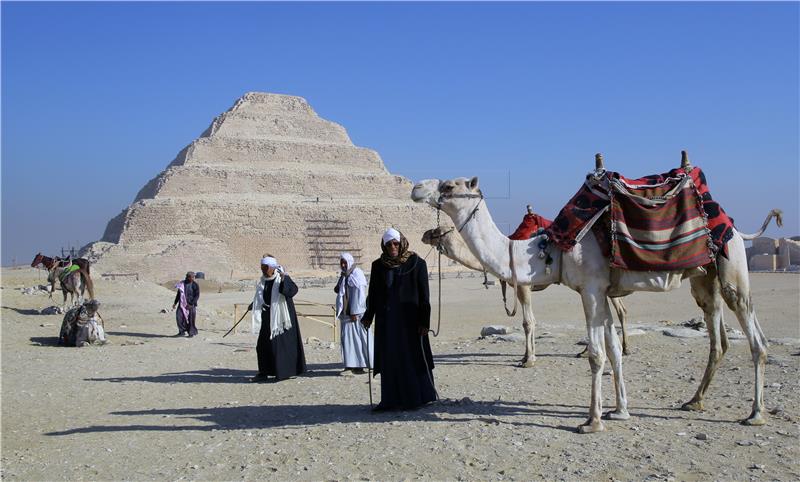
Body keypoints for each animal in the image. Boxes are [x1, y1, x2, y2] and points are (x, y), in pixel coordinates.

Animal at [422, 225, 628, 358]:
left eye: (437, 231)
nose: (424, 235)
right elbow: (530, 321)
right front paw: (530, 353)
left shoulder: (523, 285)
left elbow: (528, 322)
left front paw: (527, 358)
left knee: (619, 311)